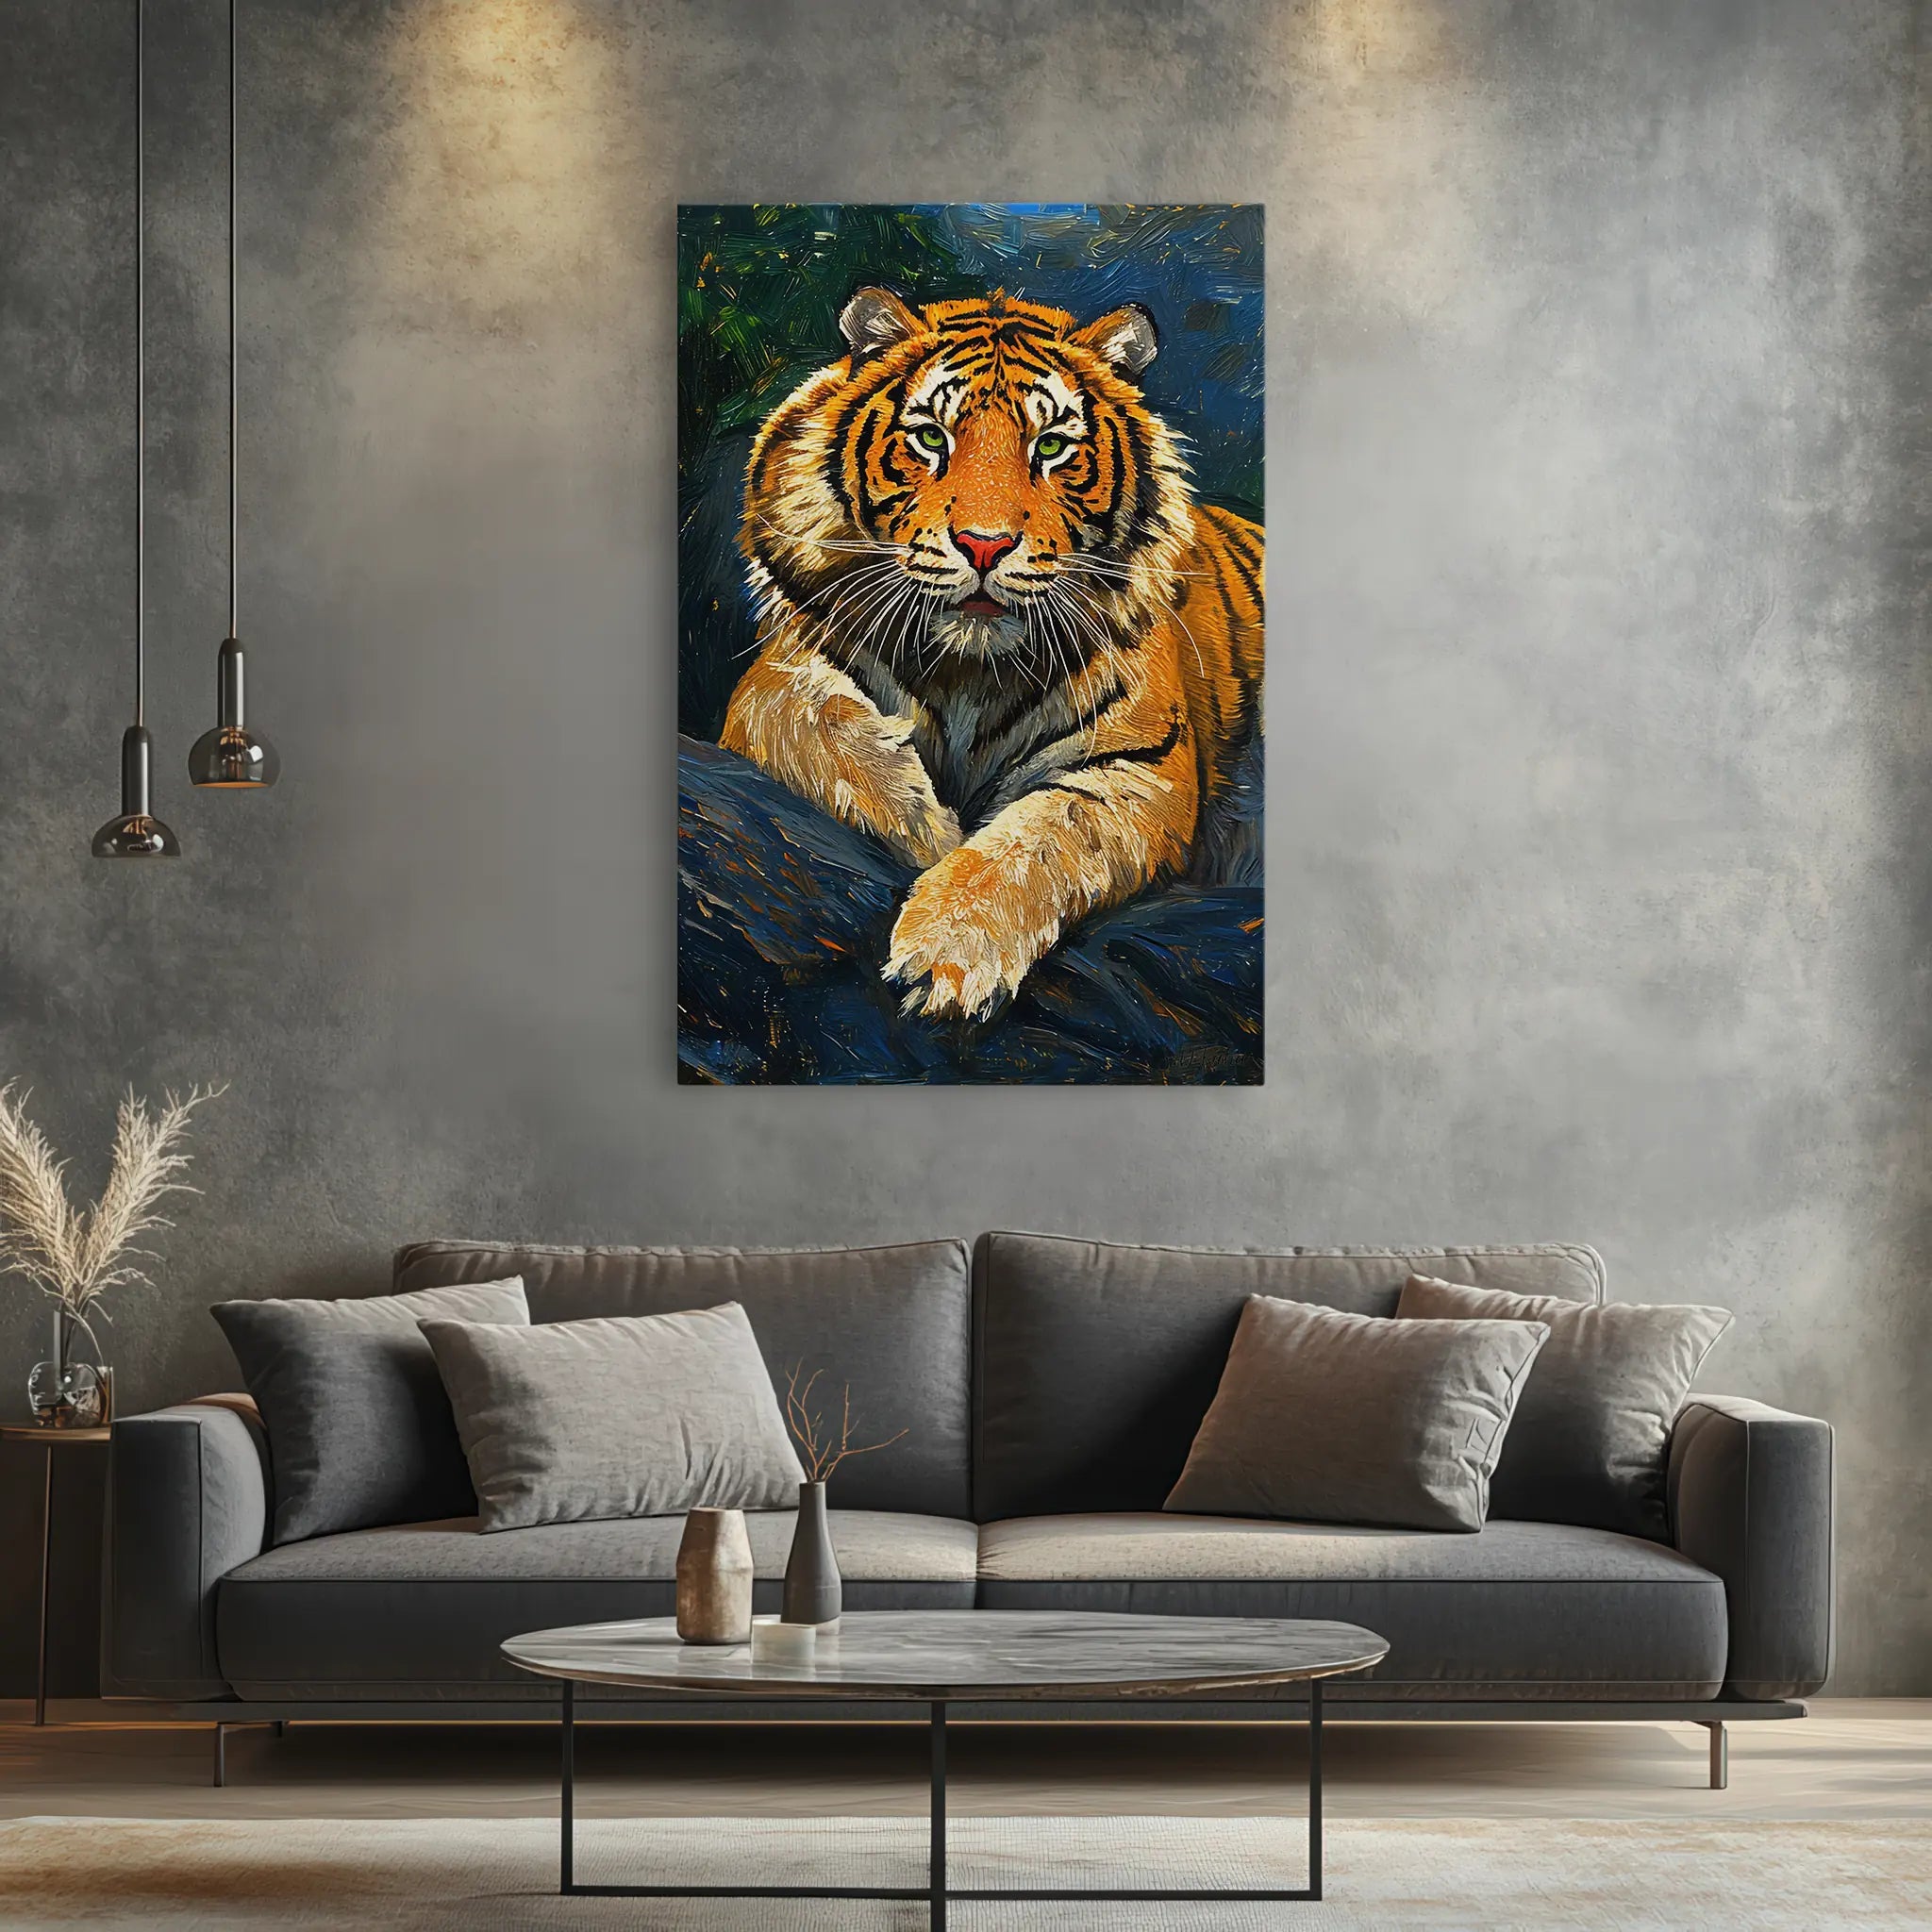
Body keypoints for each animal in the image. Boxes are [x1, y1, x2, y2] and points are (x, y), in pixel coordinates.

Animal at [720, 285, 1263, 1021]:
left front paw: (947, 948)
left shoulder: (1140, 767)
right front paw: (922, 823)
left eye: (1052, 446)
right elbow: (805, 718)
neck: (967, 673)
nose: (984, 545)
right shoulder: (774, 674)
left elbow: (1039, 837)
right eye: (931, 437)